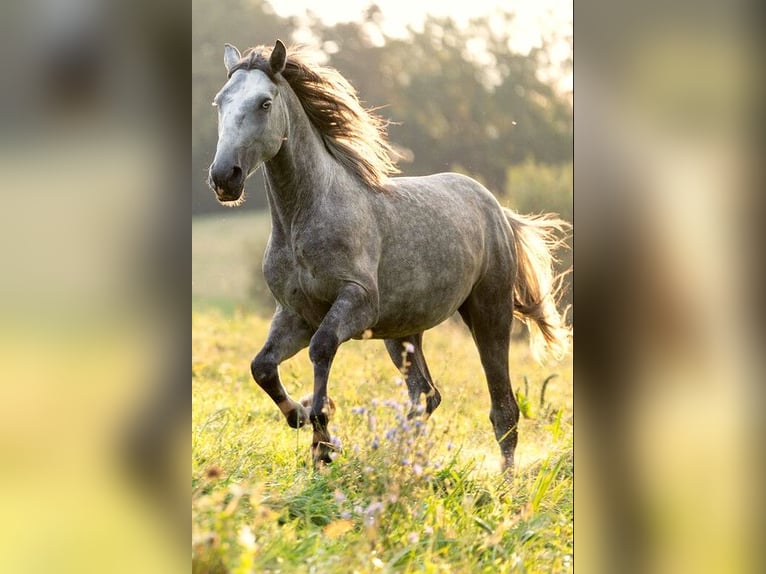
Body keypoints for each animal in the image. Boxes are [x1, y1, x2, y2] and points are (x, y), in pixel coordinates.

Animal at [208, 39, 568, 472]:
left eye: (264, 103)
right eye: (219, 102)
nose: (224, 178)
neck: (304, 218)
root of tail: (497, 209)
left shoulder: (355, 303)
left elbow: (321, 348)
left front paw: (323, 439)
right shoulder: (295, 314)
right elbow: (261, 367)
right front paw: (303, 418)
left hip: (489, 313)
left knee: (503, 410)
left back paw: (504, 482)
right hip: (403, 333)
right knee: (426, 396)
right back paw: (398, 459)